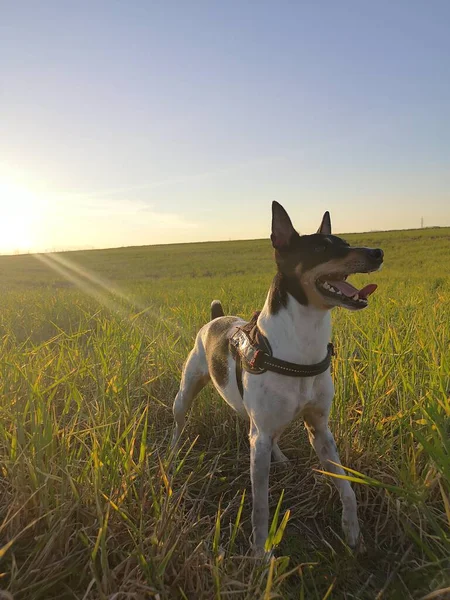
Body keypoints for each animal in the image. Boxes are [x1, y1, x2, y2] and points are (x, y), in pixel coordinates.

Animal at [171, 202, 384, 552]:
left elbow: (347, 487)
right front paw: (261, 552)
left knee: (269, 437)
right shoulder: (259, 439)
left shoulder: (320, 429)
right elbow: (260, 505)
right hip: (186, 392)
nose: (377, 252)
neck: (301, 346)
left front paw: (352, 532)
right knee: (179, 422)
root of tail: (216, 318)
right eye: (321, 248)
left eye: (346, 242)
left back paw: (280, 458)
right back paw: (173, 454)